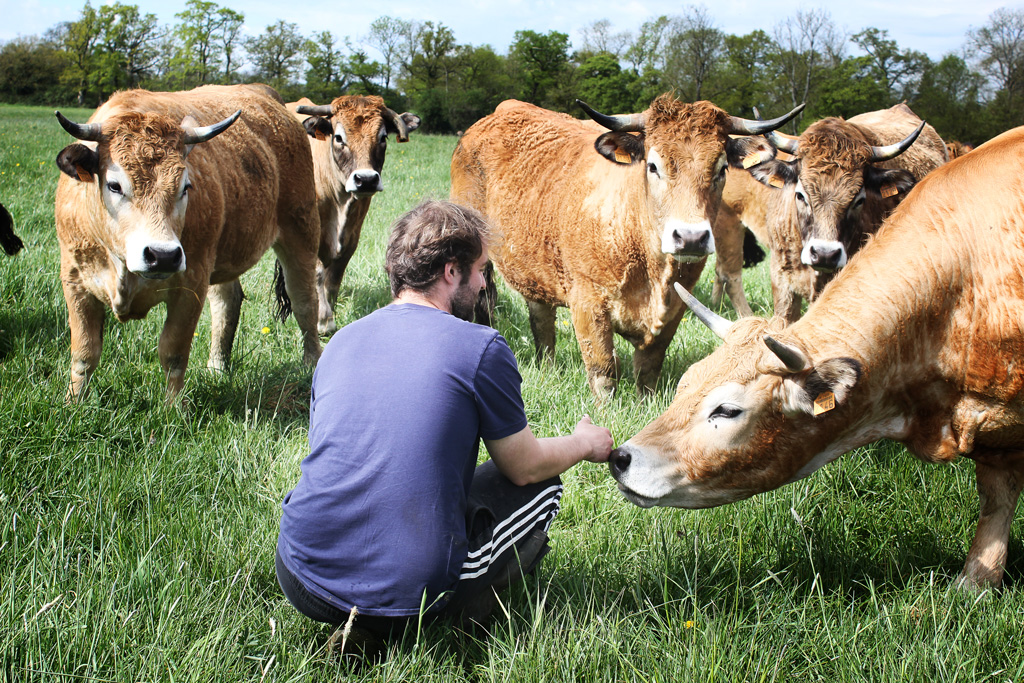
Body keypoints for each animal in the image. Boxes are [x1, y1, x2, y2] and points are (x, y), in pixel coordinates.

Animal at [51, 83, 321, 401]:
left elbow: (173, 352)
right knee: (227, 302)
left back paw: (312, 363)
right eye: (114, 185)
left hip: (301, 231)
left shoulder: (191, 284)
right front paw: (74, 402)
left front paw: (173, 408)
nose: (163, 256)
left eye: (185, 186)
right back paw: (217, 367)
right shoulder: (75, 282)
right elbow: (84, 352)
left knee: (304, 301)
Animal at [284, 96, 419, 335]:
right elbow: (317, 273)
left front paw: (331, 308)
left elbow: (334, 278)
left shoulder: (352, 237)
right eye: (338, 137)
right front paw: (324, 319)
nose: (366, 180)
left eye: (383, 137)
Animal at [452, 93, 802, 397]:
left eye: (722, 168)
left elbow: (649, 369)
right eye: (653, 166)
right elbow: (603, 370)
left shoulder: (675, 308)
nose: (691, 237)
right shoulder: (587, 301)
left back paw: (547, 365)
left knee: (541, 319)